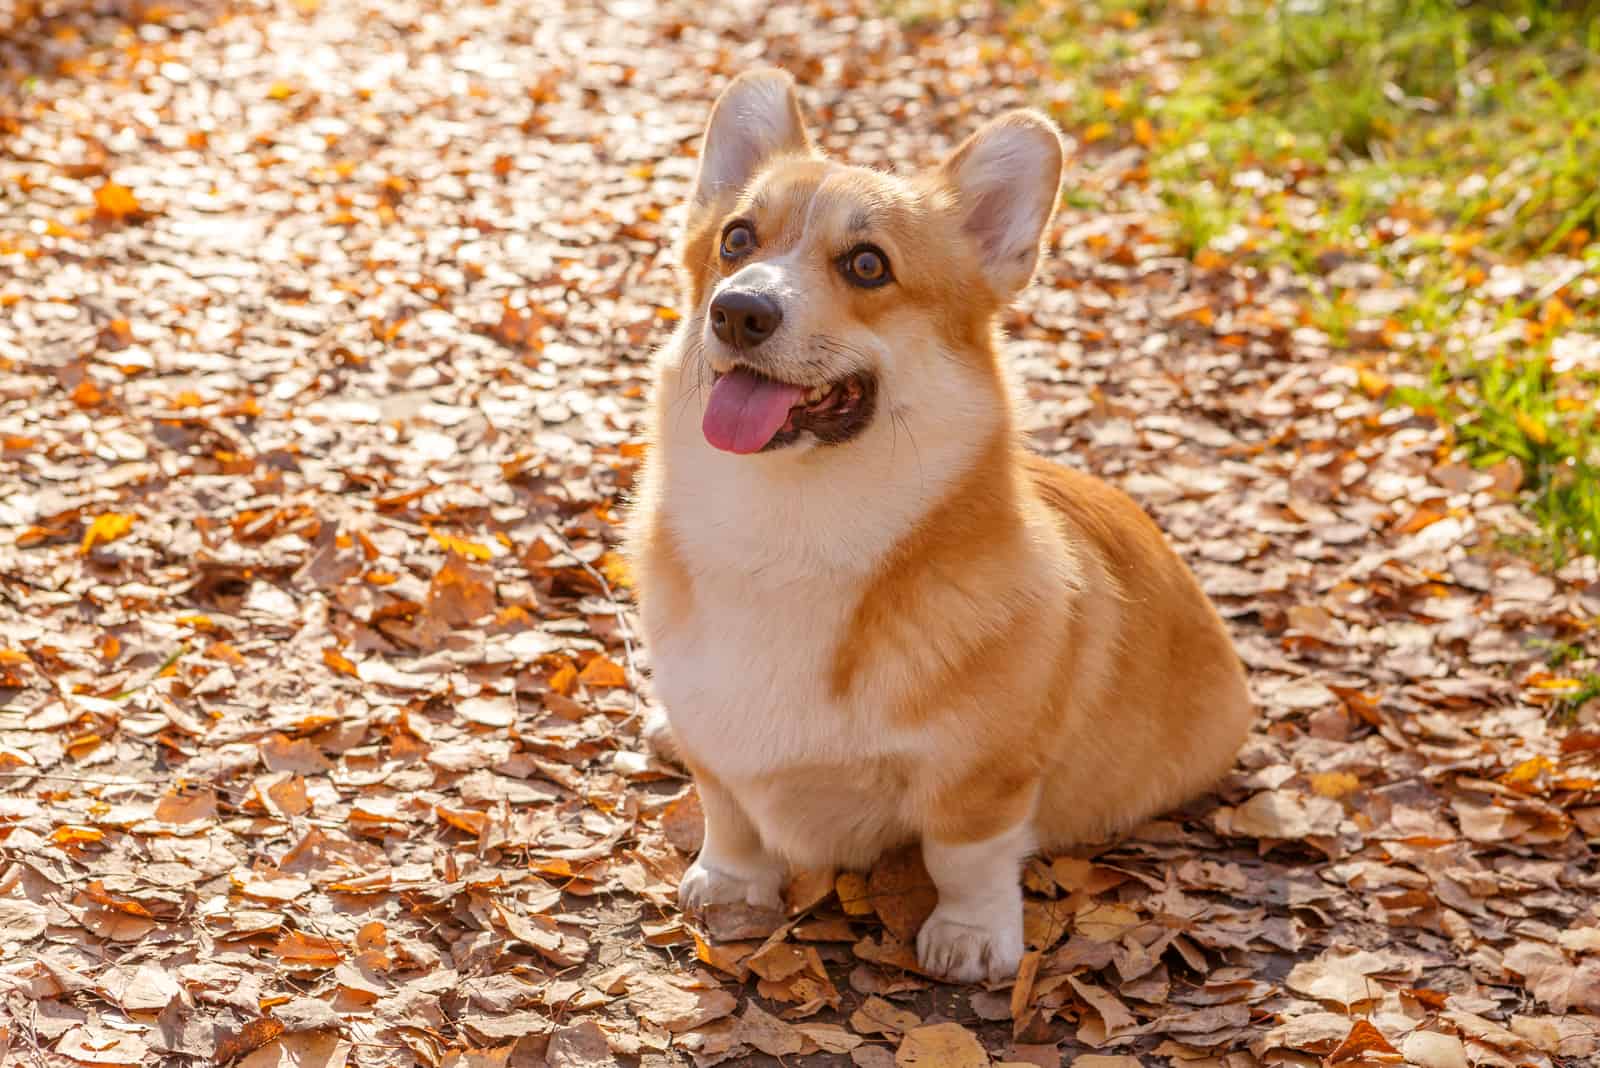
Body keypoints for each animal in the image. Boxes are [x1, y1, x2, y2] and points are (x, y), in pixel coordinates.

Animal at [630, 66, 1254, 984]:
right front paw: (734, 886)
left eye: (867, 264)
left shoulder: (983, 776)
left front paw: (970, 936)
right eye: (737, 239)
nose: (739, 311)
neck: (789, 531)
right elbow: (730, 812)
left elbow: (965, 855)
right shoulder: (720, 742)